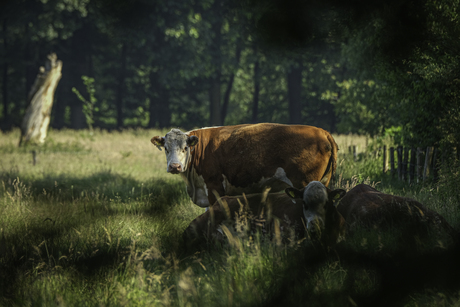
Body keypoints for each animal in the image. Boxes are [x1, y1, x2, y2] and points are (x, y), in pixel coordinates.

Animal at [151, 124, 338, 208]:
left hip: (305, 183)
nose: (175, 166)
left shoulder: (214, 187)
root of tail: (322, 132)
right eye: (166, 148)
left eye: (185, 148)